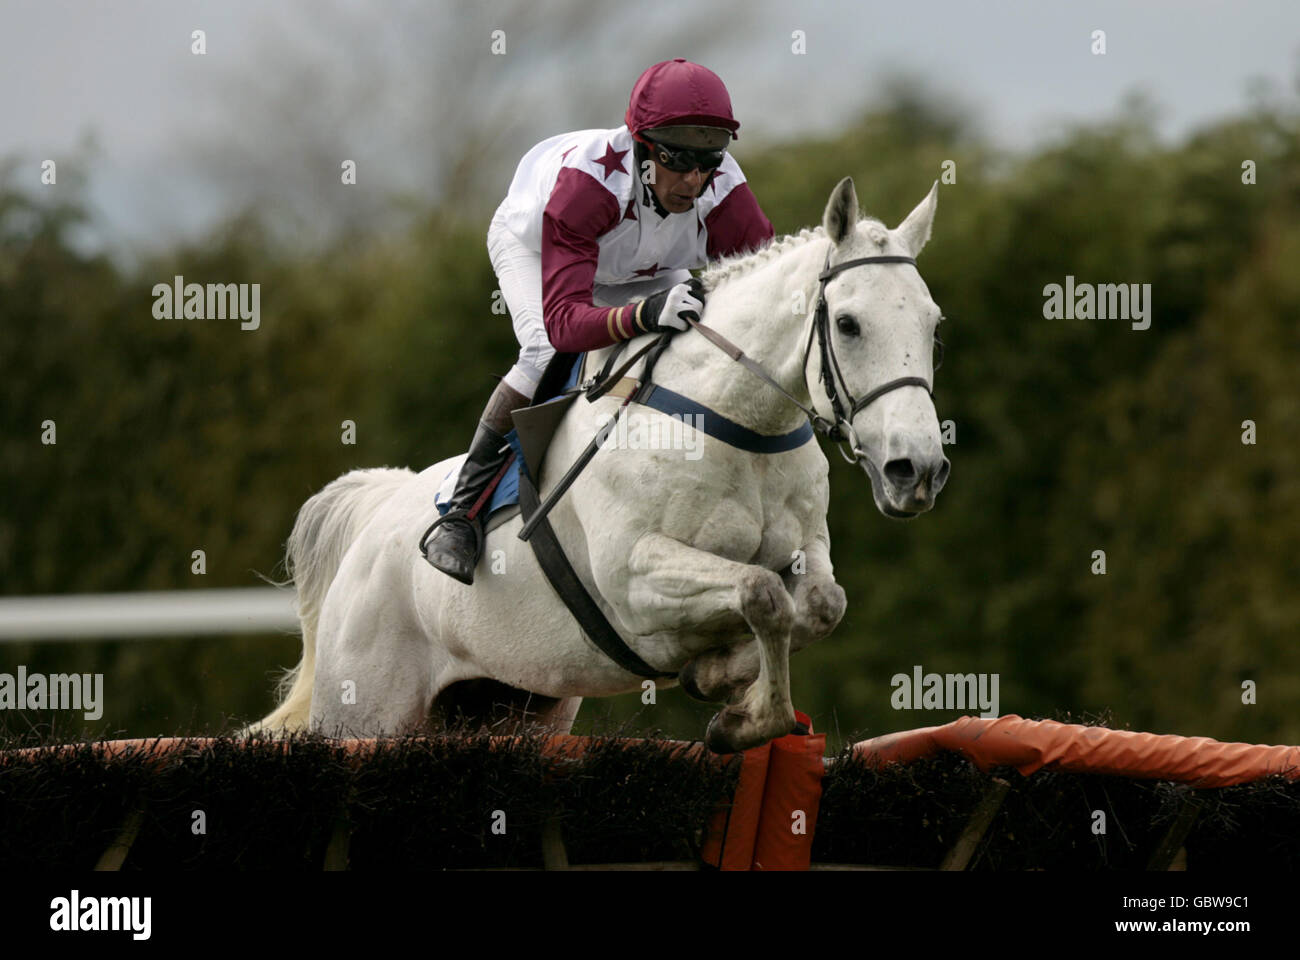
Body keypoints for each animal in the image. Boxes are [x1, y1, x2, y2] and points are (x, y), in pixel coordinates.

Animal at [244, 178, 951, 749]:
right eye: (850, 324)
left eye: (933, 325)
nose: (916, 470)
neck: (733, 422)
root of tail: (372, 516)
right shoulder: (635, 578)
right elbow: (761, 592)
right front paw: (743, 713)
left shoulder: (807, 550)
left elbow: (819, 605)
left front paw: (722, 683)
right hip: (364, 711)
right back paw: (451, 538)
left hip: (519, 705)